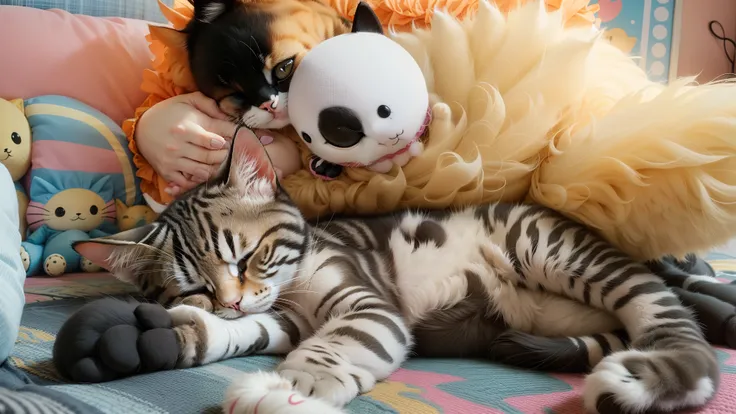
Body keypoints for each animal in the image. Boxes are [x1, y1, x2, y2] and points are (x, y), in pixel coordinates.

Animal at [77, 127, 720, 414]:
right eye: (197, 286)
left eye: (246, 254)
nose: (230, 299)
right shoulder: (285, 317)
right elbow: (256, 330)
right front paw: (195, 329)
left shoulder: (364, 301)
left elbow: (332, 345)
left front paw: (289, 389)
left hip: (548, 246)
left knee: (672, 318)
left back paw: (654, 375)